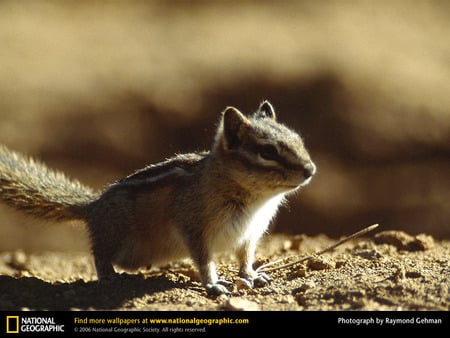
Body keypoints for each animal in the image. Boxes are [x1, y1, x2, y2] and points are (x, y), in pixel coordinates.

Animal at [0, 101, 314, 296]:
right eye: (268, 151)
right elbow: (204, 260)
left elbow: (246, 257)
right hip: (116, 235)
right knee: (99, 254)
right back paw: (109, 275)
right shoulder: (194, 226)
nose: (310, 170)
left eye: (299, 139)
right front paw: (213, 285)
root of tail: (93, 207)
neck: (255, 199)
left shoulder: (250, 234)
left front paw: (251, 275)